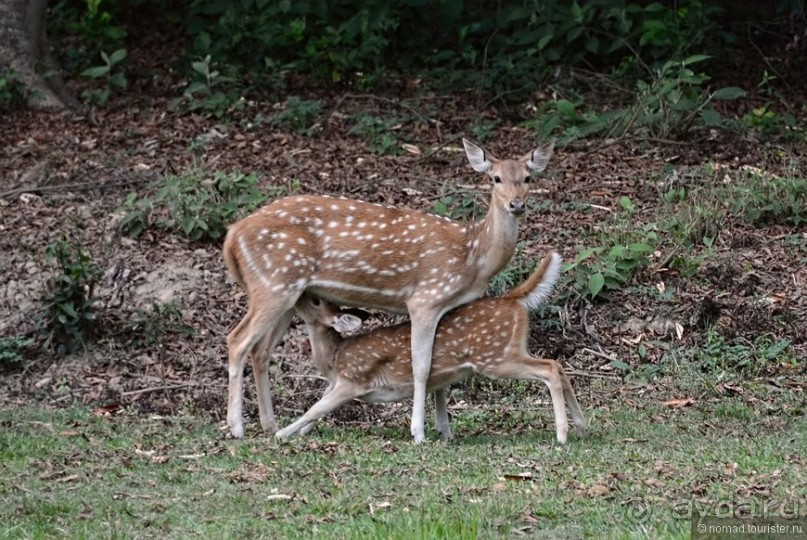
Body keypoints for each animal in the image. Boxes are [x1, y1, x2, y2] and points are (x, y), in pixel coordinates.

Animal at [227, 137, 556, 440]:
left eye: (528, 178)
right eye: (495, 178)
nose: (516, 204)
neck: (473, 257)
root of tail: (232, 235)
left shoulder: (448, 307)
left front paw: (442, 430)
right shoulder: (426, 298)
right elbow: (421, 366)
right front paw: (418, 432)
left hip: (288, 292)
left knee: (260, 350)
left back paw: (270, 426)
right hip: (273, 284)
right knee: (237, 340)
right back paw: (236, 428)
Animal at [278, 252, 588, 442]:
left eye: (316, 301)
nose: (299, 290)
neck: (334, 358)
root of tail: (512, 300)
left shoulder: (353, 380)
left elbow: (313, 409)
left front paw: (281, 434)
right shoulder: (337, 383)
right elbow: (317, 409)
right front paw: (300, 433)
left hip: (496, 357)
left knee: (550, 368)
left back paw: (562, 434)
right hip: (509, 350)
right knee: (558, 365)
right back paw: (581, 426)